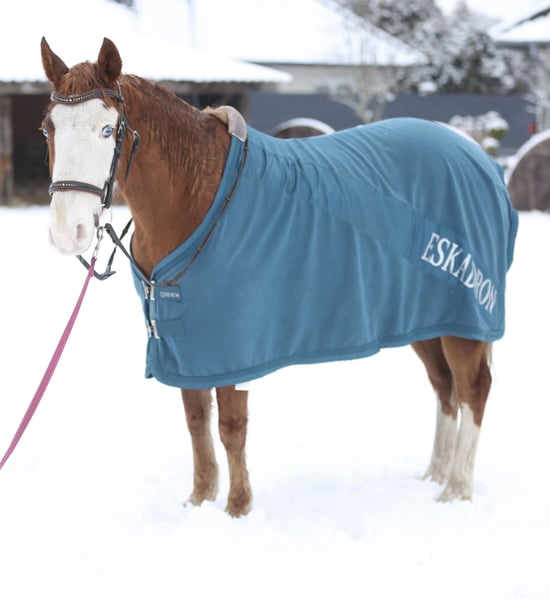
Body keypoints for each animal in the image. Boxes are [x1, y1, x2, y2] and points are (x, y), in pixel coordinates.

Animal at [40, 38, 518, 517]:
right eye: (48, 129)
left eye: (108, 130)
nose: (67, 232)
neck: (199, 195)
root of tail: (482, 161)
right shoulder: (186, 346)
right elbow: (197, 422)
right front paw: (199, 500)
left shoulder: (233, 348)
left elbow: (231, 427)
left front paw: (237, 507)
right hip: (427, 319)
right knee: (444, 388)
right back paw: (436, 472)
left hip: (464, 321)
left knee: (473, 389)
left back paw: (456, 488)